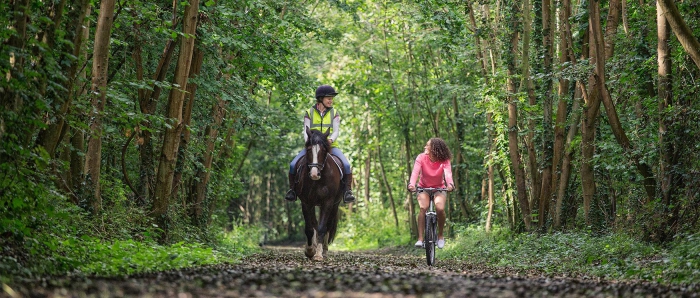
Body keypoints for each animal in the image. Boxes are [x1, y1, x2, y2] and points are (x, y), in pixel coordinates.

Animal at [292, 128, 344, 260]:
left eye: (324, 150)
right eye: (309, 150)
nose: (314, 174)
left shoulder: (328, 202)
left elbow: (322, 228)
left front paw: (319, 254)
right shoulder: (306, 203)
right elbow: (310, 228)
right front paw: (310, 250)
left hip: (334, 205)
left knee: (328, 225)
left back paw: (324, 250)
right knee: (315, 223)